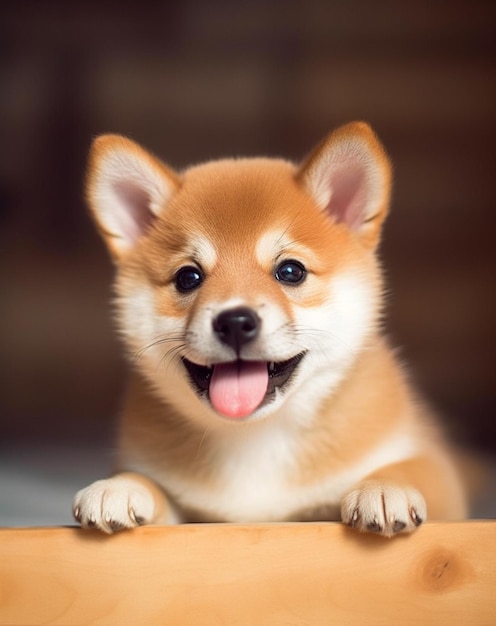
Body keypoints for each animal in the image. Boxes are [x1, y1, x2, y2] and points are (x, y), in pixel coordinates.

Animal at [71, 122, 466, 536]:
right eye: (187, 277)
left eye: (291, 271)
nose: (235, 322)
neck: (256, 439)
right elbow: (150, 483)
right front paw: (121, 487)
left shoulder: (436, 472)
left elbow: (414, 468)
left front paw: (386, 486)